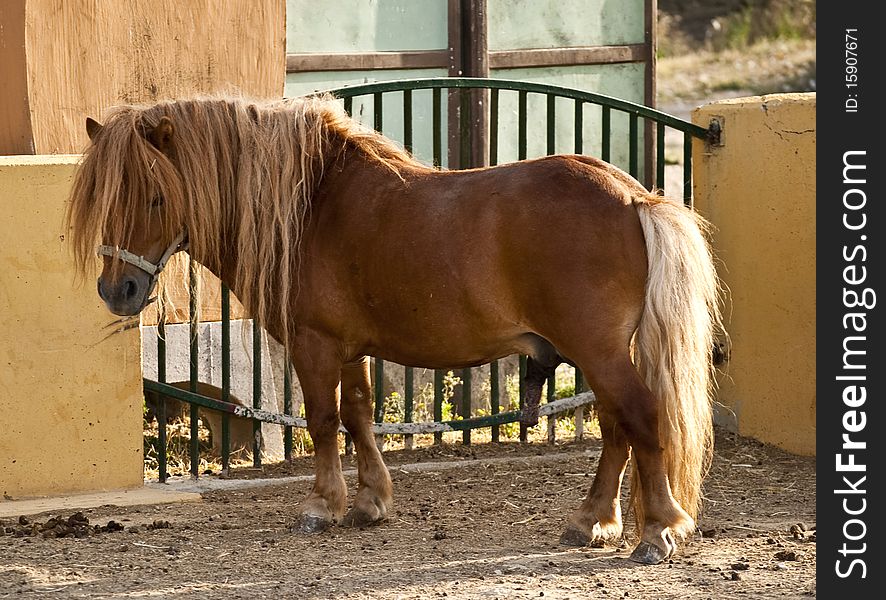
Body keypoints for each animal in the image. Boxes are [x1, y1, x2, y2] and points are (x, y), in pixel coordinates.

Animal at [67, 92, 720, 564]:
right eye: (107, 198)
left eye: (156, 197)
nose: (117, 291)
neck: (311, 206)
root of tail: (635, 198)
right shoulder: (351, 348)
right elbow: (357, 414)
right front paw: (370, 501)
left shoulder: (313, 343)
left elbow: (323, 420)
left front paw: (323, 505)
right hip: (595, 352)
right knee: (615, 426)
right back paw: (592, 521)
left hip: (598, 350)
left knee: (641, 416)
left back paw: (657, 530)